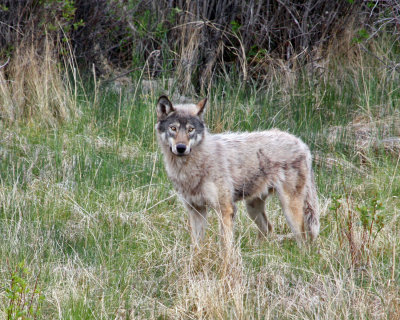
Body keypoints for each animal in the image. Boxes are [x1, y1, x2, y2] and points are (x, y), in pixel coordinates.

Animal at [155, 96, 320, 246]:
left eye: (191, 130)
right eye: (173, 128)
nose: (181, 148)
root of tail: (302, 143)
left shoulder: (226, 209)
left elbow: (226, 246)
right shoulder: (196, 210)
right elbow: (196, 246)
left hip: (290, 210)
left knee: (303, 240)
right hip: (252, 208)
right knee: (268, 228)